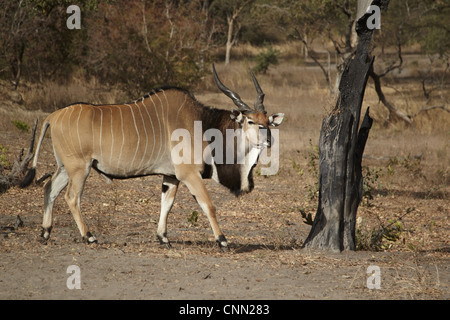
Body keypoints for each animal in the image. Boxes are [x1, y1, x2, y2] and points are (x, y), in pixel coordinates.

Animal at [22, 65, 284, 249]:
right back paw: (89, 236)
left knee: (49, 188)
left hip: (66, 168)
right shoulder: (189, 175)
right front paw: (222, 240)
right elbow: (208, 205)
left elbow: (166, 204)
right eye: (250, 121)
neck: (203, 124)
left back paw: (45, 232)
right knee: (71, 197)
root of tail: (53, 116)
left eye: (267, 121)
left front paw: (163, 238)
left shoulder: (171, 177)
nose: (269, 138)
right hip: (80, 168)